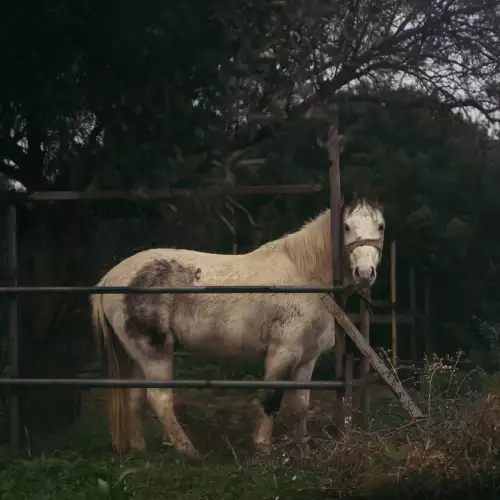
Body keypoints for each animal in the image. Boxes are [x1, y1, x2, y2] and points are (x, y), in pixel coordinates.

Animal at [92, 195, 384, 458]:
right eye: (347, 227)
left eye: (380, 226)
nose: (365, 273)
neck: (306, 276)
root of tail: (110, 279)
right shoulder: (282, 352)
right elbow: (271, 398)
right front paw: (263, 449)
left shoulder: (306, 358)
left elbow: (301, 404)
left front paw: (302, 449)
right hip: (154, 353)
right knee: (159, 398)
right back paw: (189, 451)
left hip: (136, 354)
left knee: (134, 396)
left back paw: (139, 449)